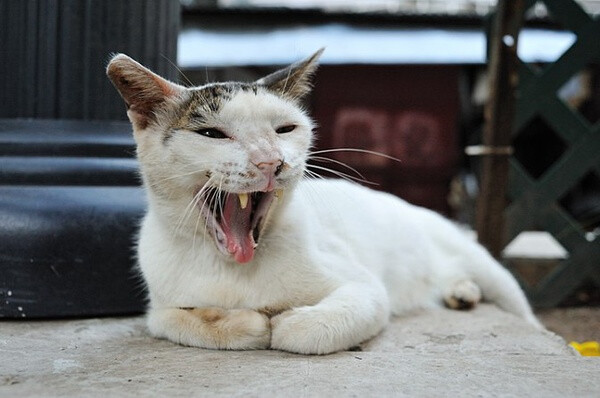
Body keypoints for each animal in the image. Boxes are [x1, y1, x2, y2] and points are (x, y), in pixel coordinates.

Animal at [105, 49, 540, 354]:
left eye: (285, 129)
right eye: (212, 134)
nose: (270, 161)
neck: (234, 269)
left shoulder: (364, 287)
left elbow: (307, 330)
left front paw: (282, 322)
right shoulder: (159, 307)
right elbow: (179, 321)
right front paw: (246, 322)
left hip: (484, 266)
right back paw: (460, 292)